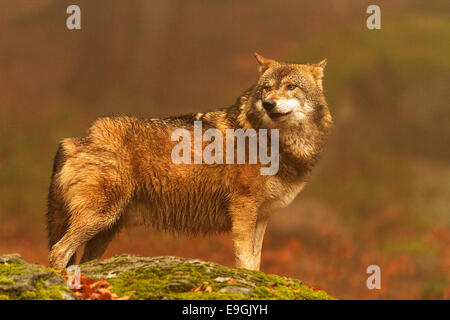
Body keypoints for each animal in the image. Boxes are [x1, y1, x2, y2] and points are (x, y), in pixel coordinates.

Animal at [47, 53, 332, 268]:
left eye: (291, 86)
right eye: (267, 88)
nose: (268, 103)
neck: (274, 144)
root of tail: (78, 139)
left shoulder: (261, 217)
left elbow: (256, 262)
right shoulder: (243, 210)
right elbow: (245, 262)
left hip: (106, 229)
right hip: (100, 217)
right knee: (58, 252)